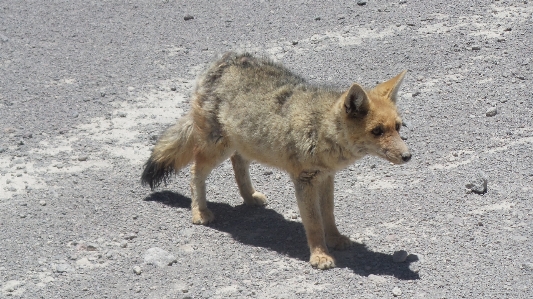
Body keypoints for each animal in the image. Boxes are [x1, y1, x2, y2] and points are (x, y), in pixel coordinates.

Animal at [141, 52, 412, 270]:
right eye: (377, 131)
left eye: (398, 128)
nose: (408, 156)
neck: (320, 128)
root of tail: (223, 60)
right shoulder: (305, 180)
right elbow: (314, 223)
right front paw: (319, 256)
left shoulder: (326, 177)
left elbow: (329, 215)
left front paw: (335, 239)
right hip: (215, 149)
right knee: (195, 172)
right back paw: (200, 211)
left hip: (242, 143)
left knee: (238, 163)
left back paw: (249, 197)